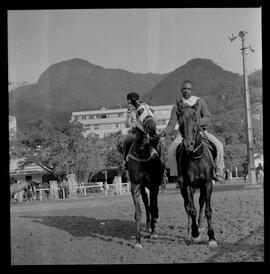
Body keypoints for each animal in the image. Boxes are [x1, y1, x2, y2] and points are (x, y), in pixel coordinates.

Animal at [176, 99, 218, 247]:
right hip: (184, 188)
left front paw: (212, 237)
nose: (188, 144)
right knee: (188, 207)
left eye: (195, 119)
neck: (196, 157)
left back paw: (200, 226)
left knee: (201, 203)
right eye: (180, 121)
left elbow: (208, 210)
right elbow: (192, 210)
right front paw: (195, 234)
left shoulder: (207, 184)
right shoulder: (188, 185)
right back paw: (191, 231)